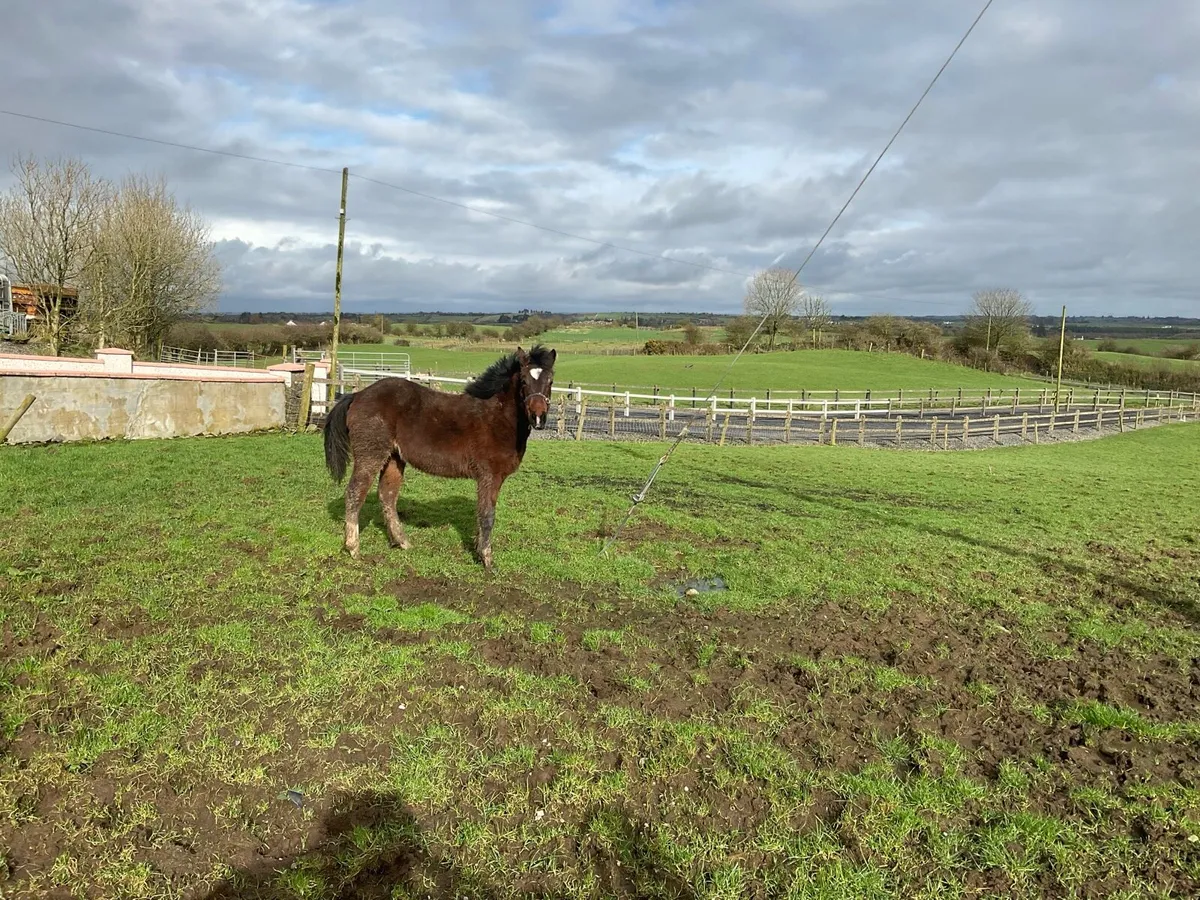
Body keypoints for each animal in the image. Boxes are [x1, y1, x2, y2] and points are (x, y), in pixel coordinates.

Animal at [322, 344, 556, 569]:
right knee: (355, 493)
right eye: (524, 380)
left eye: (551, 380)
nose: (538, 418)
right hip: (371, 454)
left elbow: (481, 512)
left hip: (394, 458)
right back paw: (353, 548)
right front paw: (487, 560)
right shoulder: (490, 475)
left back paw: (402, 542)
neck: (497, 418)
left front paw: (478, 550)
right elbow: (488, 515)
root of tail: (357, 395)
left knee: (387, 495)